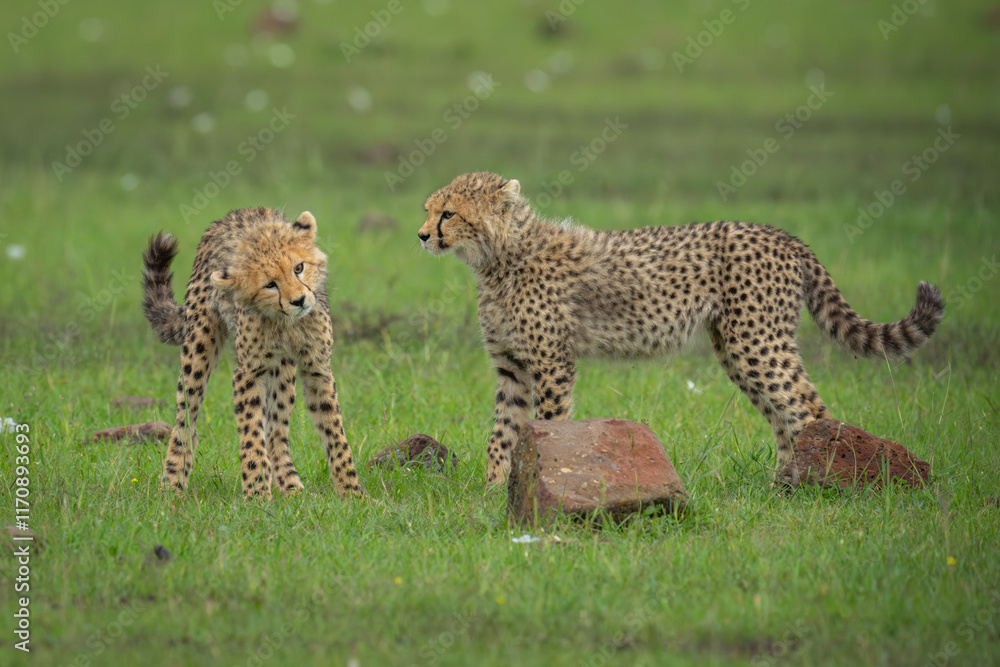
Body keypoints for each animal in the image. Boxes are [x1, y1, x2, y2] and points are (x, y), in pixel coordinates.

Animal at [142, 206, 363, 499]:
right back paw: (172, 484)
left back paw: (289, 484)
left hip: (283, 370)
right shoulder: (248, 372)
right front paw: (257, 494)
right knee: (185, 419)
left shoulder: (317, 367)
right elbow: (250, 431)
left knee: (277, 426)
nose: (299, 301)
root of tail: (235, 212)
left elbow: (334, 430)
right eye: (270, 284)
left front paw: (353, 493)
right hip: (198, 346)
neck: (284, 322)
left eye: (299, 268)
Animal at [417, 171, 945, 487]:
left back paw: (815, 488)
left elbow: (546, 426)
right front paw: (493, 494)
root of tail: (782, 234)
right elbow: (502, 432)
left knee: (806, 408)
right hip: (738, 349)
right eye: (428, 210)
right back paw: (781, 488)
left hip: (757, 342)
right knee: (782, 415)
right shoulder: (512, 367)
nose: (421, 235)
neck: (499, 257)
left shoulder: (552, 363)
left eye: (448, 213)